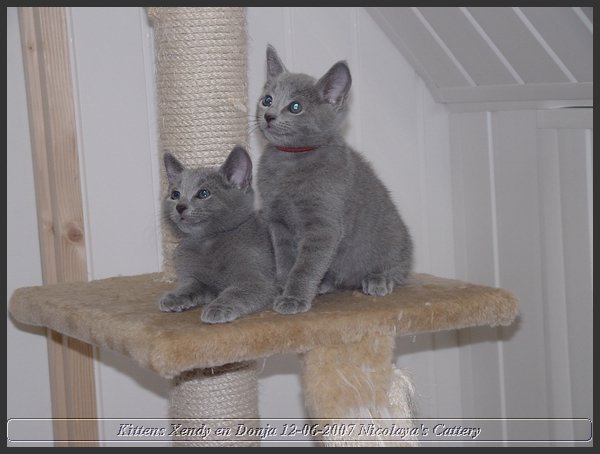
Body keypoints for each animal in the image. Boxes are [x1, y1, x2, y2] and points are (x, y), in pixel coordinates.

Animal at [157, 145, 274, 322]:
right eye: (175, 194)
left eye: (204, 193)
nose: (180, 206)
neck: (206, 242)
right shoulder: (200, 280)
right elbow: (190, 285)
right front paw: (175, 297)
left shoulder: (257, 281)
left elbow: (235, 292)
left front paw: (217, 308)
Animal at [255, 45, 414, 316]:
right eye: (267, 99)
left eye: (295, 107)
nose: (269, 115)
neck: (290, 162)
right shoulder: (278, 223)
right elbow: (286, 260)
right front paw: (283, 287)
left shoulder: (324, 226)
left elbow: (305, 266)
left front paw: (293, 297)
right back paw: (325, 284)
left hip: (392, 239)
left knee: (398, 267)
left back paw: (378, 279)